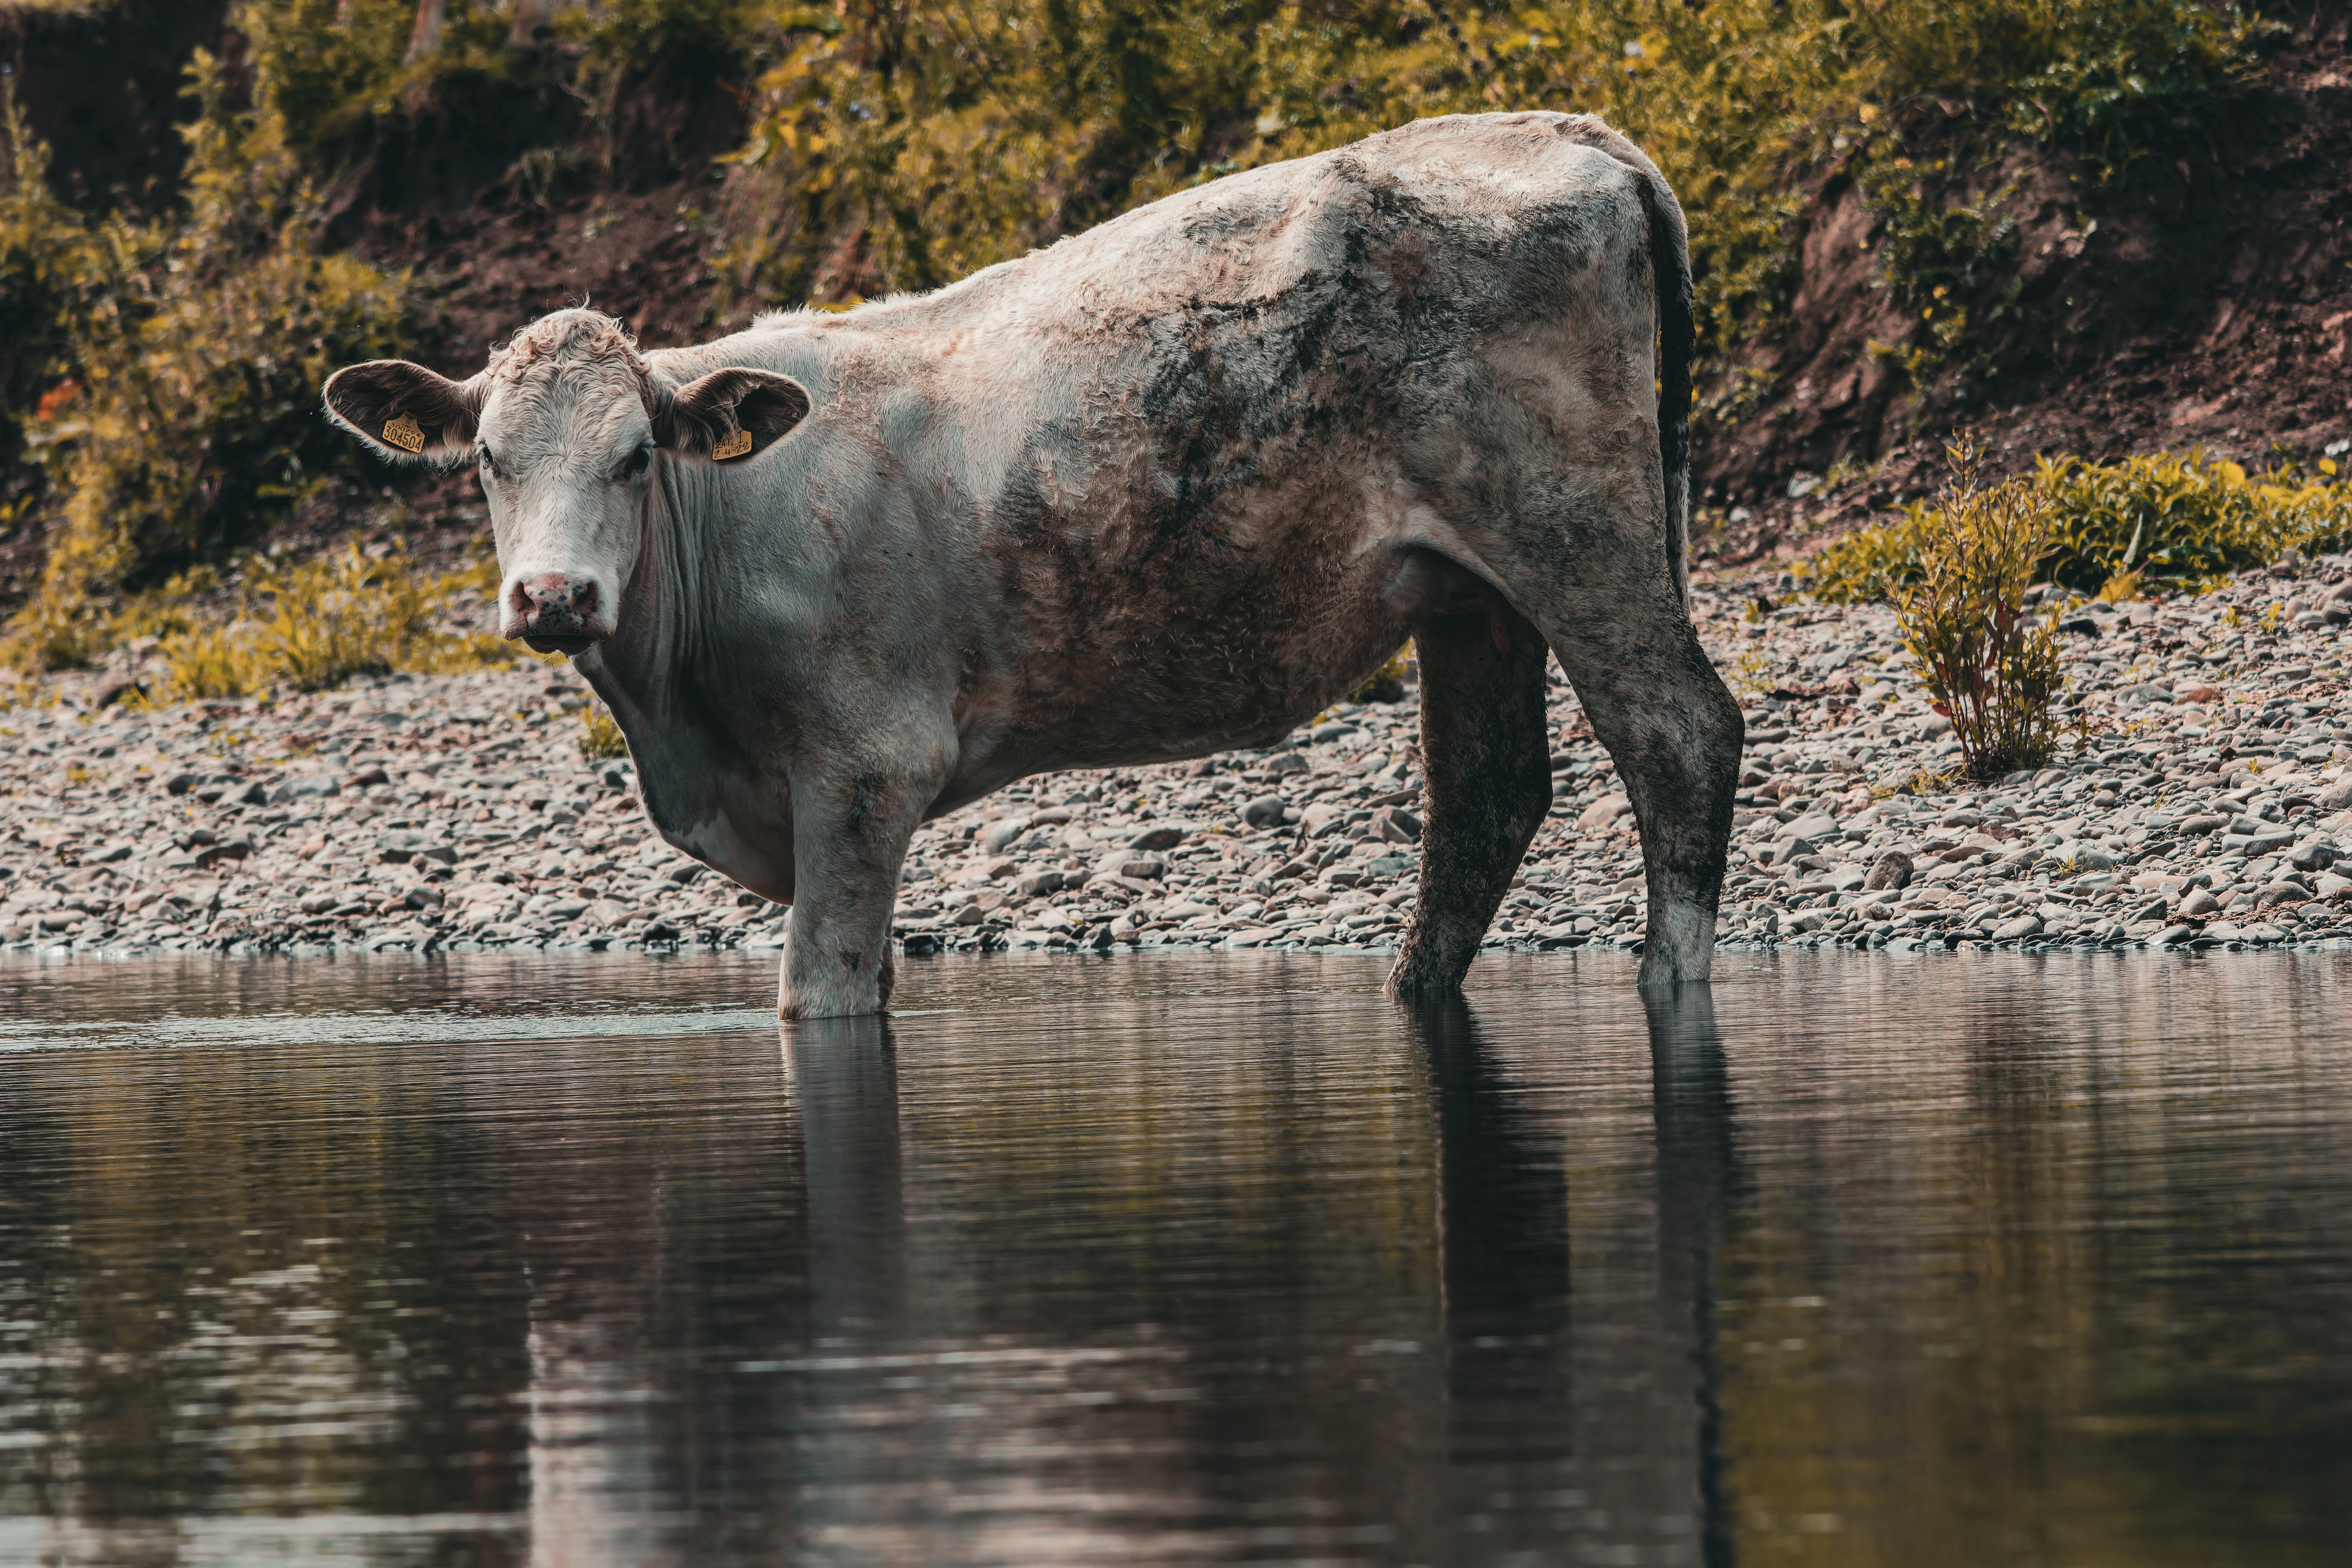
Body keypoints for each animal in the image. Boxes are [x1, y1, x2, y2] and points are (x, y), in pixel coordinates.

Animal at [322, 111, 1743, 1020]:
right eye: (489, 459)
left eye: (632, 458)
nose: (555, 595)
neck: (682, 726)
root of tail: (1573, 134)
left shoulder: (865, 770)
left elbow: (815, 997)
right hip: (1468, 589)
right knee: (1484, 796)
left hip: (1576, 534)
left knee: (1677, 733)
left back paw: (1671, 980)